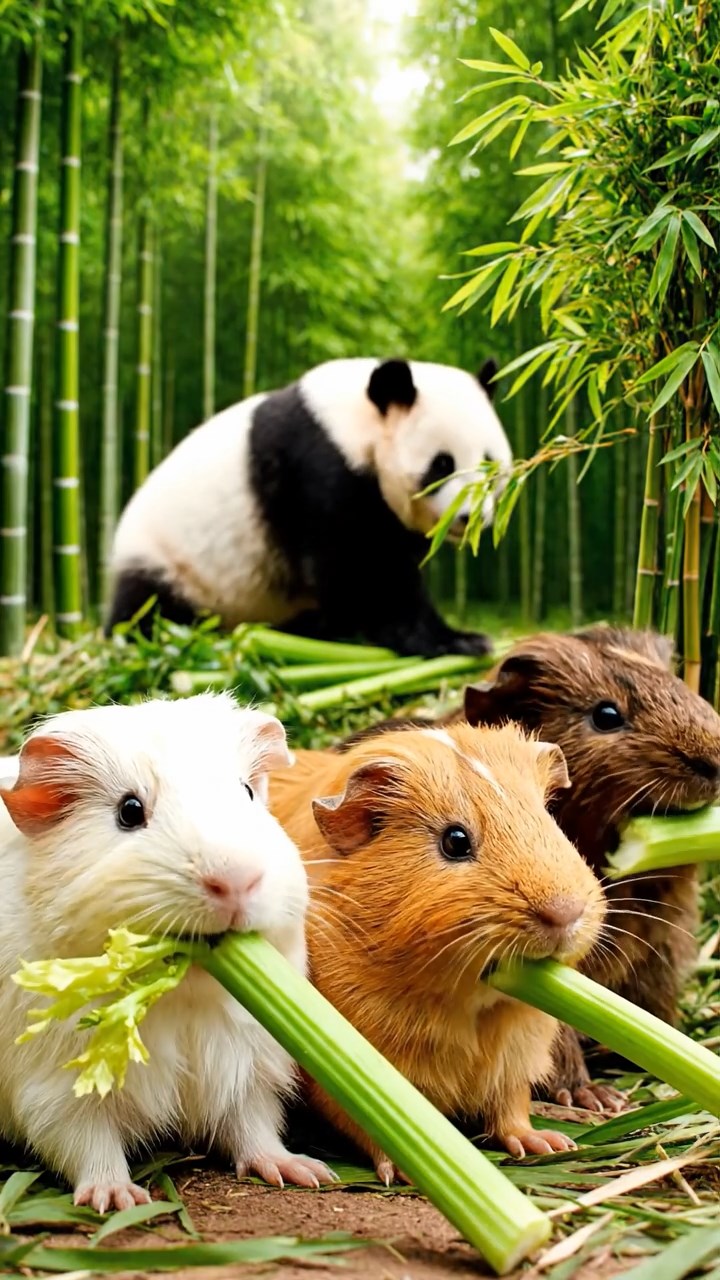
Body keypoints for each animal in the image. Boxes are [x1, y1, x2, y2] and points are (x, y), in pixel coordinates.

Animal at [105, 356, 512, 657]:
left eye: (489, 464)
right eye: (443, 464)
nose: (469, 517)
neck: (355, 422)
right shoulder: (317, 469)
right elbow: (363, 568)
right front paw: (454, 640)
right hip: (172, 562)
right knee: (147, 610)